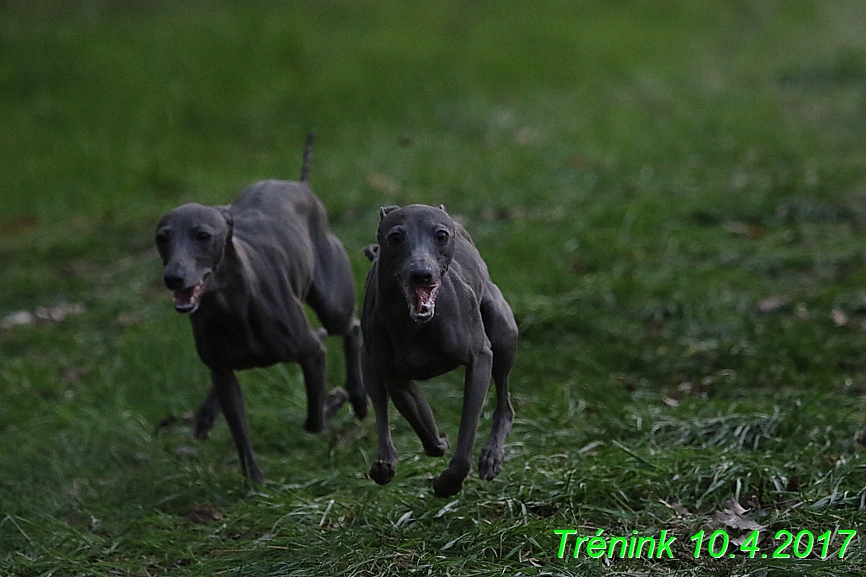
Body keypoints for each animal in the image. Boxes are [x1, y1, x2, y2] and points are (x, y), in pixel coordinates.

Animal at [155, 137, 364, 484]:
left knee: (349, 327)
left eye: (203, 235)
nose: (173, 278)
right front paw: (253, 484)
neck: (232, 307)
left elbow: (314, 419)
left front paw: (335, 399)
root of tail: (300, 184)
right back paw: (205, 417)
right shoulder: (223, 372)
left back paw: (358, 397)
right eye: (162, 238)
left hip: (333, 301)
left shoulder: (311, 352)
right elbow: (241, 434)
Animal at [362, 205, 516, 498]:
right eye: (395, 237)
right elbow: (424, 427)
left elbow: (465, 437)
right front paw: (440, 443)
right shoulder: (397, 381)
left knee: (505, 404)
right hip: (368, 367)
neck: (417, 324)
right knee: (379, 407)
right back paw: (385, 461)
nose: (421, 273)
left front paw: (448, 483)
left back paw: (491, 456)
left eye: (441, 235)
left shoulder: (479, 358)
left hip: (503, 334)